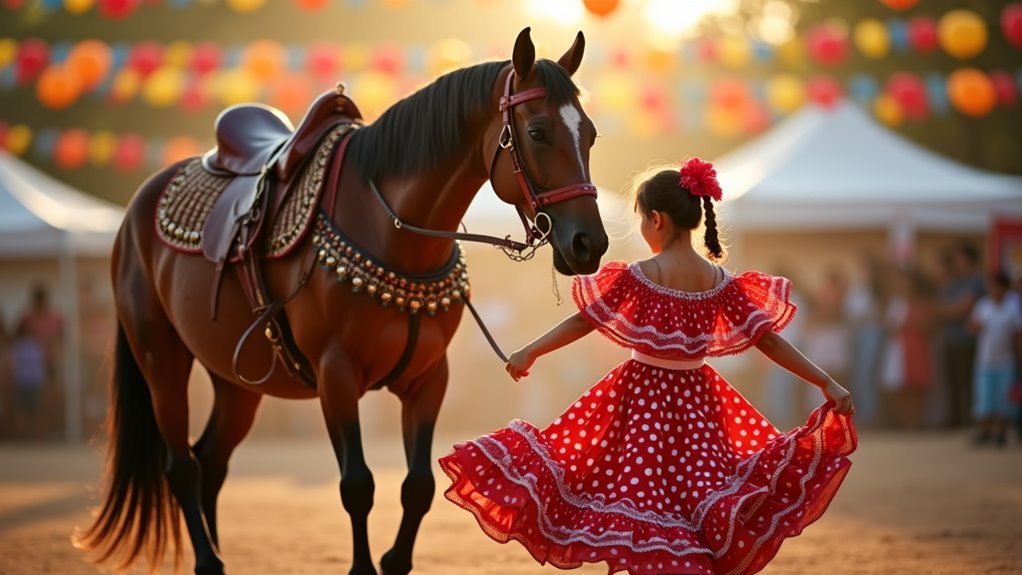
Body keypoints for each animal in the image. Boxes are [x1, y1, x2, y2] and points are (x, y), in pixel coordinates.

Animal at [74, 27, 608, 575]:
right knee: (181, 464)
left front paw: (394, 559)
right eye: (538, 132)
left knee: (211, 460)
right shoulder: (336, 373)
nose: (589, 243)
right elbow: (357, 484)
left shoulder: (429, 378)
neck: (393, 233)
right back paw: (209, 560)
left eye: (589, 134)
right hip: (160, 358)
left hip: (235, 378)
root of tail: (138, 207)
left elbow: (418, 486)